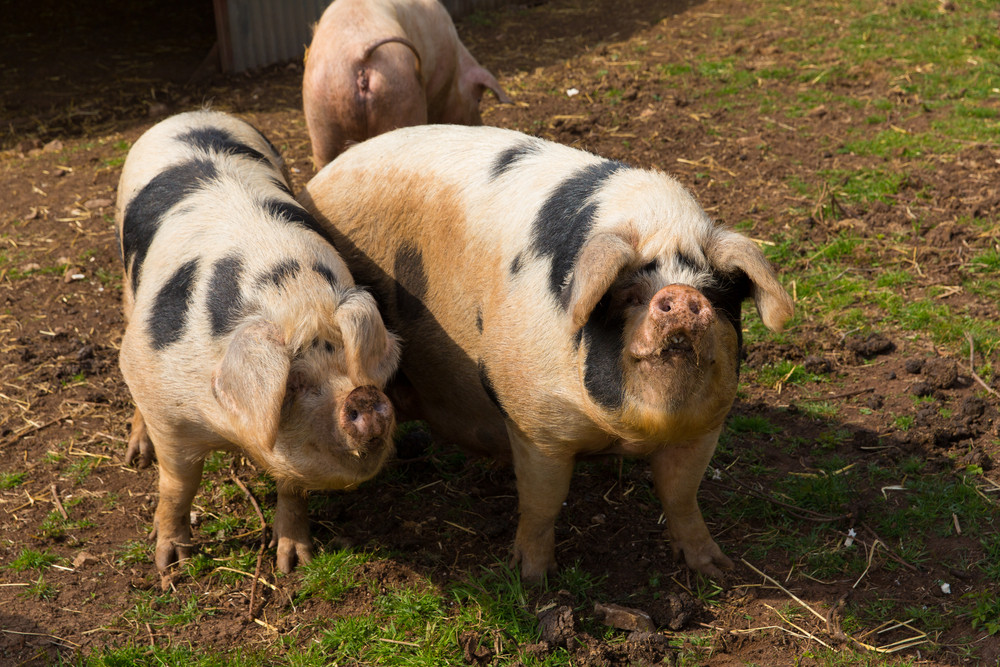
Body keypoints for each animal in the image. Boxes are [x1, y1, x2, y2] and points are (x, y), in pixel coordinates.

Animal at [116, 108, 398, 576]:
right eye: (293, 382)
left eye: (352, 361)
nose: (362, 396)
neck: (294, 298)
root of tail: (192, 113)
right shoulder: (165, 405)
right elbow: (178, 484)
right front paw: (171, 564)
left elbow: (292, 487)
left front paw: (293, 563)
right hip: (125, 282)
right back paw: (137, 457)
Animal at [298, 124, 796, 580]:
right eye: (631, 295)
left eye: (713, 295)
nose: (680, 295)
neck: (630, 431)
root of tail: (319, 178)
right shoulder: (536, 426)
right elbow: (542, 503)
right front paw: (533, 579)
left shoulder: (705, 426)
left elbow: (681, 495)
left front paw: (716, 570)